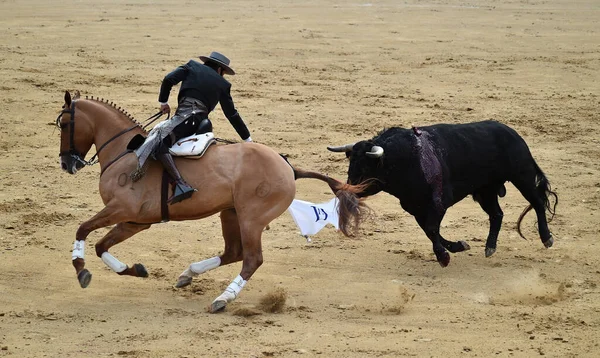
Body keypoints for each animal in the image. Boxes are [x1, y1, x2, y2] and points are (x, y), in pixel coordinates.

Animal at [56, 91, 366, 312]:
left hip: (251, 219)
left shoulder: (121, 210)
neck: (126, 152)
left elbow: (83, 229)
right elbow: (101, 245)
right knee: (233, 252)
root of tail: (288, 167)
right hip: (229, 213)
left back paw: (222, 299)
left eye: (65, 124)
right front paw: (134, 270)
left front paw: (81, 270)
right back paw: (188, 274)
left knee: (251, 259)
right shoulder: (135, 221)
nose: (67, 164)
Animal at [328, 121, 556, 268]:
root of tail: (513, 133)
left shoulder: (438, 202)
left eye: (365, 168)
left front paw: (443, 257)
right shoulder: (414, 207)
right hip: (486, 190)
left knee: (537, 202)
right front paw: (456, 247)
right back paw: (490, 247)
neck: (403, 159)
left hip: (522, 176)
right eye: (351, 165)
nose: (345, 191)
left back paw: (547, 238)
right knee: (496, 214)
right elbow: (430, 231)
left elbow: (431, 229)